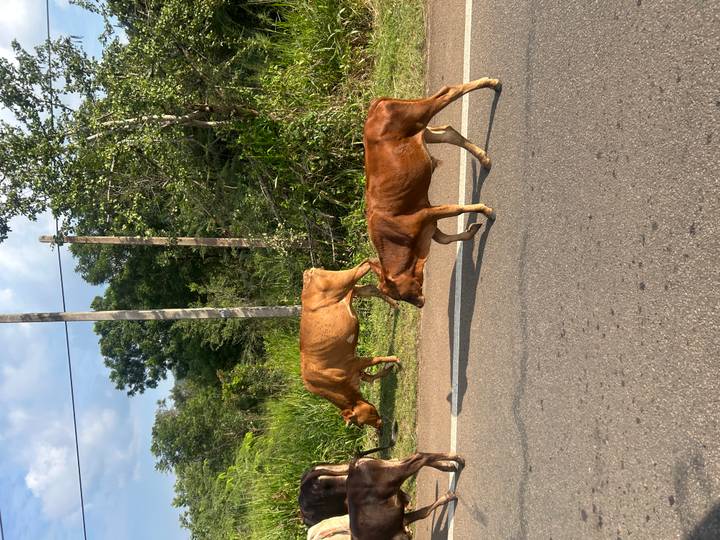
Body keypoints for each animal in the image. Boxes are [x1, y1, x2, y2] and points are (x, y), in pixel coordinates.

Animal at [300, 260, 400, 430]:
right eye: (361, 423)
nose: (379, 427)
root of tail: (308, 273)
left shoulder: (353, 362)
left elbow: (377, 359)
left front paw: (396, 361)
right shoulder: (355, 369)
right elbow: (369, 376)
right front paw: (388, 369)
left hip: (343, 280)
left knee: (367, 263)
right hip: (351, 290)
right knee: (370, 288)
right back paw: (396, 305)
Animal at [364, 77, 502, 307]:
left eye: (399, 294)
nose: (420, 303)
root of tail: (375, 106)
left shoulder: (425, 214)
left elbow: (456, 209)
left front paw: (487, 211)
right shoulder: (428, 225)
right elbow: (447, 239)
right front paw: (473, 229)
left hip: (420, 113)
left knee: (449, 92)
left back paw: (493, 83)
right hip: (422, 132)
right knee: (448, 131)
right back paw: (484, 158)